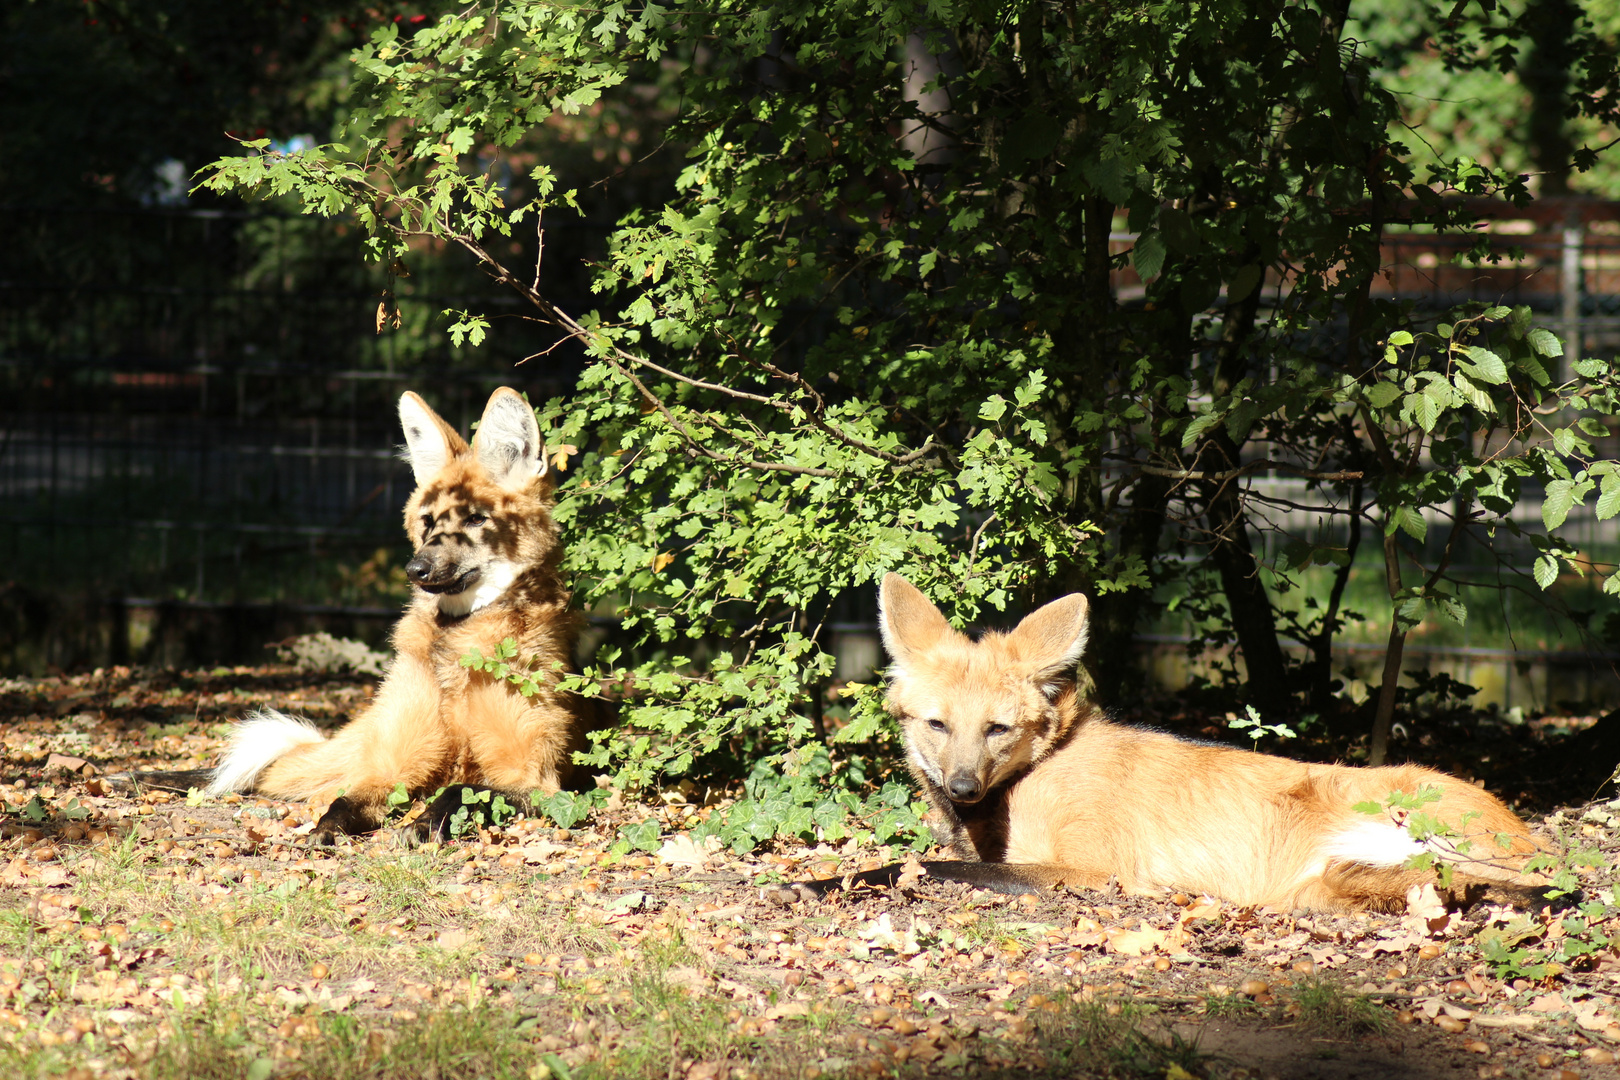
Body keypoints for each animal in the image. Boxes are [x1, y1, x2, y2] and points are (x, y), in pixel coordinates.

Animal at [199, 388, 586, 841]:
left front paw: (423, 823)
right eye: (428, 522)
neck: (454, 645)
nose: (416, 569)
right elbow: (345, 800)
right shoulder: (390, 768)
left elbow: (461, 791)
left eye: (476, 519)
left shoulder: (536, 781)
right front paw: (327, 830)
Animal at [784, 573, 1542, 913]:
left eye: (997, 729)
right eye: (937, 725)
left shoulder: (1099, 871)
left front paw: (821, 881)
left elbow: (925, 868)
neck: (1031, 777)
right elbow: (930, 862)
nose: (962, 785)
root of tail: (1533, 840)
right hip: (1322, 884)